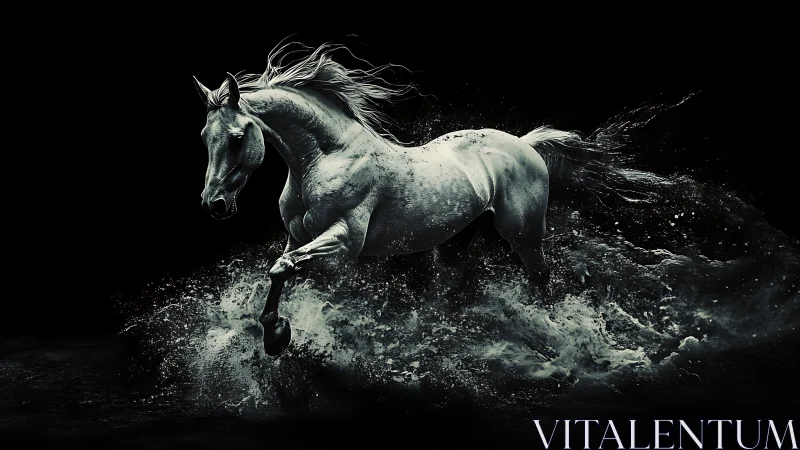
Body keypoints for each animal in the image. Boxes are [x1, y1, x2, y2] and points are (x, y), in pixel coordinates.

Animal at [193, 42, 660, 356]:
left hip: (523, 234)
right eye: (204, 136)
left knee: (541, 277)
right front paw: (275, 334)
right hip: (459, 239)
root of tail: (525, 144)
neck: (327, 157)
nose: (214, 205)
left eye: (236, 137)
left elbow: (285, 268)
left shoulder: (343, 242)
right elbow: (280, 268)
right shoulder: (297, 236)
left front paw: (278, 335)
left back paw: (553, 330)